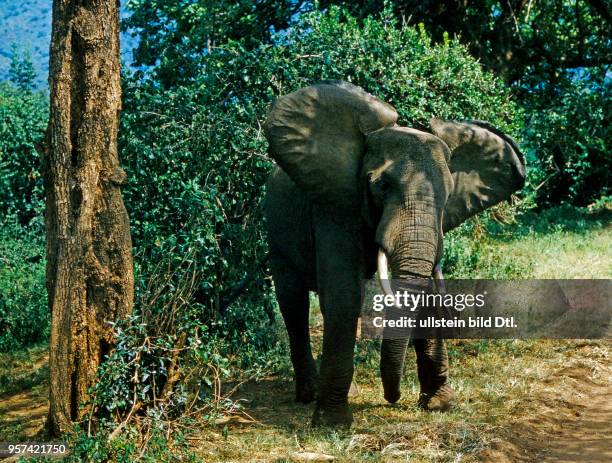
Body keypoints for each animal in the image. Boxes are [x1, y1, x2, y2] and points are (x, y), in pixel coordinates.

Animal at [262, 80, 524, 428]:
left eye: (448, 193)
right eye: (382, 186)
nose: (392, 398)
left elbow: (425, 292)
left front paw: (439, 404)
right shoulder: (337, 205)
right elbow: (344, 294)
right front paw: (332, 423)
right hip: (276, 231)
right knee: (293, 303)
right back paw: (309, 395)